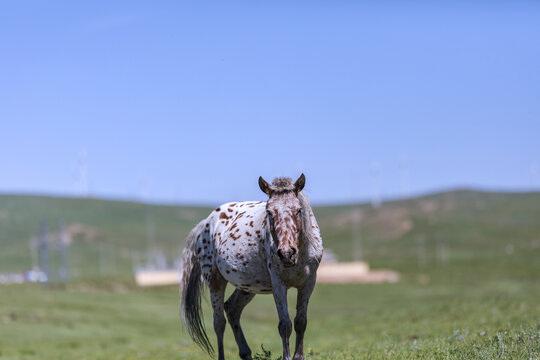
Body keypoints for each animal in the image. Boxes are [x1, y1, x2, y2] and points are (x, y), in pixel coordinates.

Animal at [181, 174, 324, 360]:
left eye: (299, 210)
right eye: (269, 211)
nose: (286, 253)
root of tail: (206, 223)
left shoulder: (308, 282)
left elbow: (301, 321)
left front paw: (298, 357)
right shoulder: (278, 284)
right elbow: (285, 324)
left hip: (247, 286)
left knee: (232, 310)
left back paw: (245, 352)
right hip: (215, 281)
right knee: (219, 323)